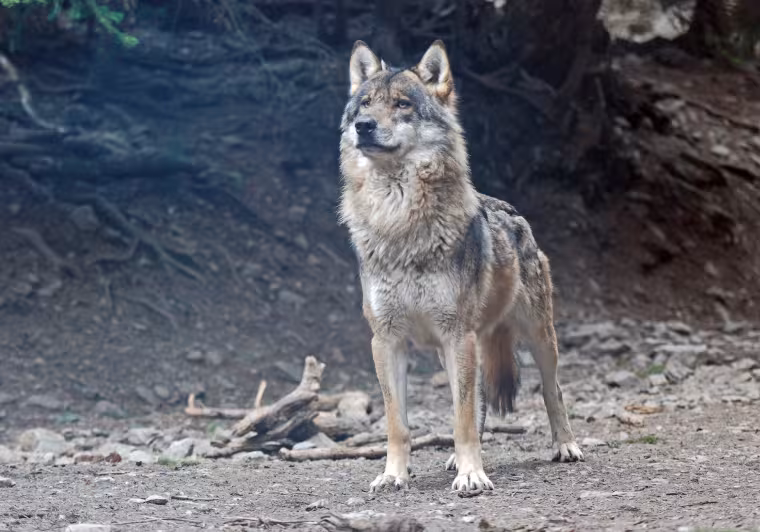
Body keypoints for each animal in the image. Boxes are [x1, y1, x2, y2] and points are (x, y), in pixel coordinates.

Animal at [339, 40, 584, 493]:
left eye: (401, 104)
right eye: (365, 104)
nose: (363, 126)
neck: (398, 222)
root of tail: (513, 210)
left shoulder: (458, 335)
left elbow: (462, 416)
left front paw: (473, 475)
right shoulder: (386, 341)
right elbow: (398, 423)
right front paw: (393, 475)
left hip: (538, 337)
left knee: (551, 390)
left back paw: (566, 446)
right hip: (453, 349)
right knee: (479, 398)